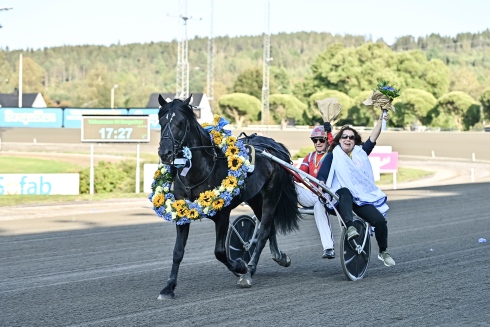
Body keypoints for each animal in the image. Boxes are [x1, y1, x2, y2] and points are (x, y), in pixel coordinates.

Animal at [157, 95, 302, 300]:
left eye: (180, 123)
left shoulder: (222, 214)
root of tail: (275, 147)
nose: (165, 153)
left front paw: (240, 266)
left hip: (271, 195)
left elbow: (219, 252)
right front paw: (169, 287)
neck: (200, 171)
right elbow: (178, 251)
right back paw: (279, 256)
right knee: (269, 228)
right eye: (161, 122)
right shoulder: (181, 212)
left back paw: (249, 270)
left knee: (264, 231)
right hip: (255, 198)